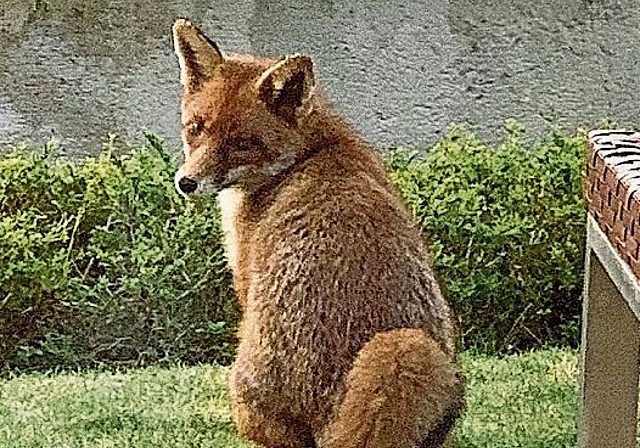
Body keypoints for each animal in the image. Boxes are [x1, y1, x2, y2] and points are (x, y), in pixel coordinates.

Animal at [172, 18, 462, 448]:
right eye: (196, 129)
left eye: (242, 143)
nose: (186, 183)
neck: (311, 153)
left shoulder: (246, 280)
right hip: (416, 351)